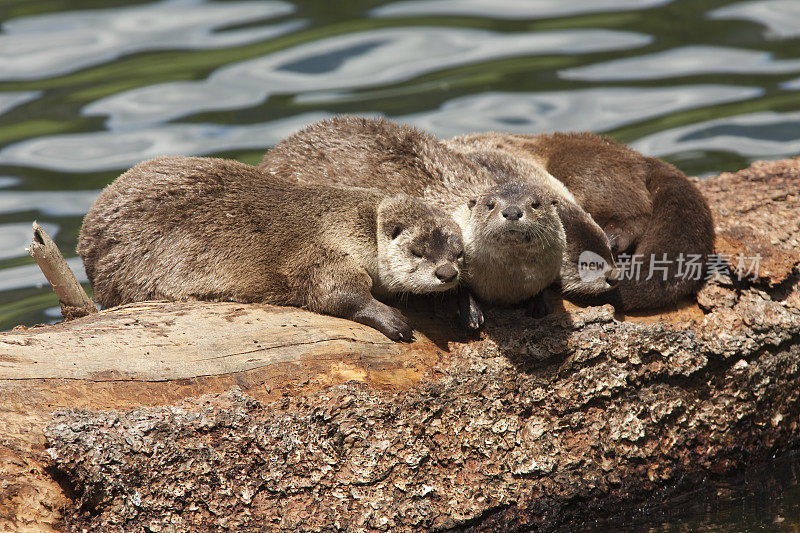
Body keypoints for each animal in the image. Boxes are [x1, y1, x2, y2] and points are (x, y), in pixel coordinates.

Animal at [76, 156, 462, 338]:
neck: (349, 225)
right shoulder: (318, 253)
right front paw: (390, 318)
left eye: (458, 254)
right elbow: (334, 292)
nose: (447, 273)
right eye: (418, 251)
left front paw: (460, 304)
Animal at [260, 116, 564, 322]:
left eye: (535, 204)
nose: (511, 211)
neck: (507, 285)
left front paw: (540, 301)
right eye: (490, 204)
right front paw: (467, 308)